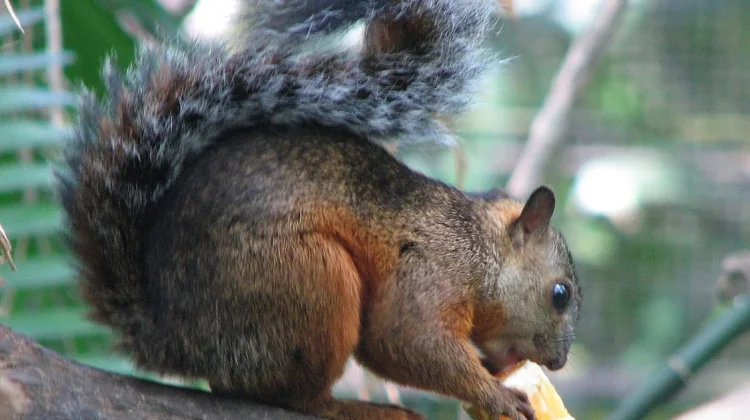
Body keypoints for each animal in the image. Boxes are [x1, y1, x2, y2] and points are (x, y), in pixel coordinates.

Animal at [55, 0, 581, 419]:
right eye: (560, 294)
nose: (557, 363)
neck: (479, 246)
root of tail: (171, 336)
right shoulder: (434, 267)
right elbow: (405, 340)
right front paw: (494, 394)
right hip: (307, 283)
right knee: (294, 397)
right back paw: (358, 409)